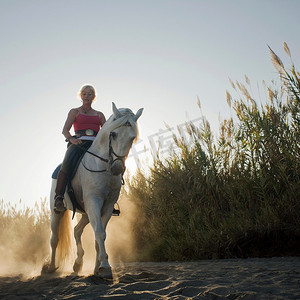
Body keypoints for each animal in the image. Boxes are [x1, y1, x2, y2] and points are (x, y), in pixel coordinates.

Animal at [43, 103, 144, 278]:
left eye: (132, 138)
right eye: (114, 134)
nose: (117, 168)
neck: (102, 166)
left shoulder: (107, 206)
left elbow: (100, 234)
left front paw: (98, 268)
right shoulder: (94, 201)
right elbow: (100, 233)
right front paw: (105, 266)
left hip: (86, 212)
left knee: (77, 230)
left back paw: (77, 264)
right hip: (58, 211)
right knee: (54, 238)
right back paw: (51, 267)